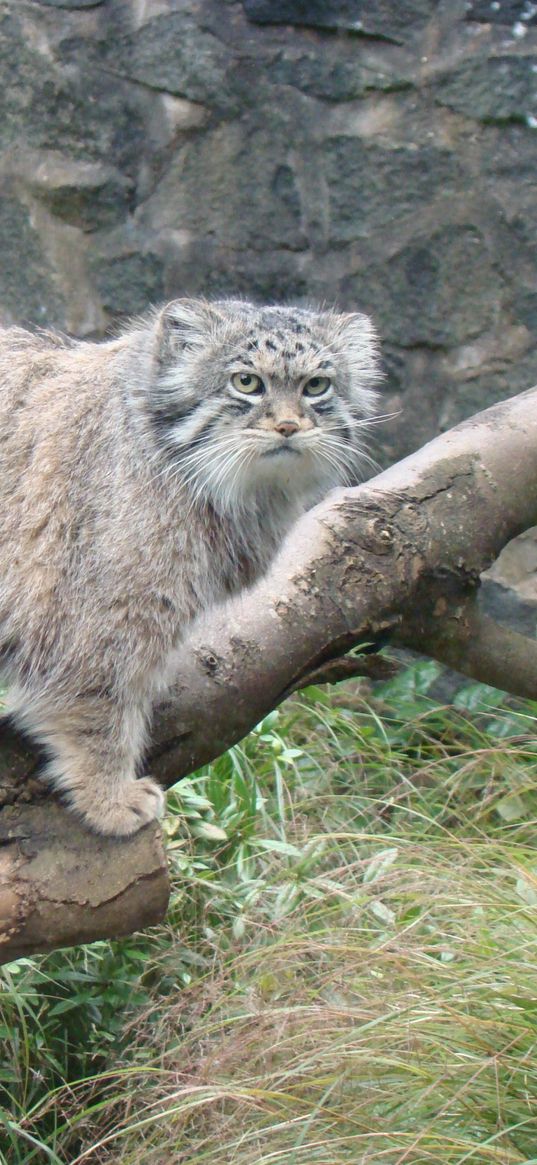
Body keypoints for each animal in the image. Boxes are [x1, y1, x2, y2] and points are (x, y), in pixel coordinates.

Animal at [0, 295, 379, 834]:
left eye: (316, 386)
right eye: (247, 382)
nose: (288, 426)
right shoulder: (98, 620)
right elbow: (99, 709)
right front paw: (107, 797)